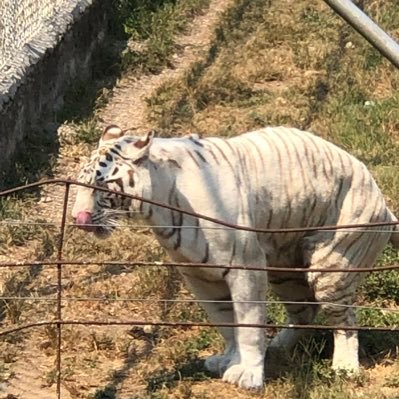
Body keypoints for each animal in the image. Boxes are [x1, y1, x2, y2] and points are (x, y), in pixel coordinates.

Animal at [72, 125, 399, 390]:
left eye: (101, 185)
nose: (78, 219)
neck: (160, 207)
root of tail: (384, 205)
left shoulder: (245, 266)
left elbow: (248, 322)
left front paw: (249, 375)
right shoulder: (198, 274)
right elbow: (225, 322)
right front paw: (230, 360)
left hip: (332, 264)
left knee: (345, 320)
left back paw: (344, 367)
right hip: (283, 269)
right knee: (305, 311)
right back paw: (277, 346)